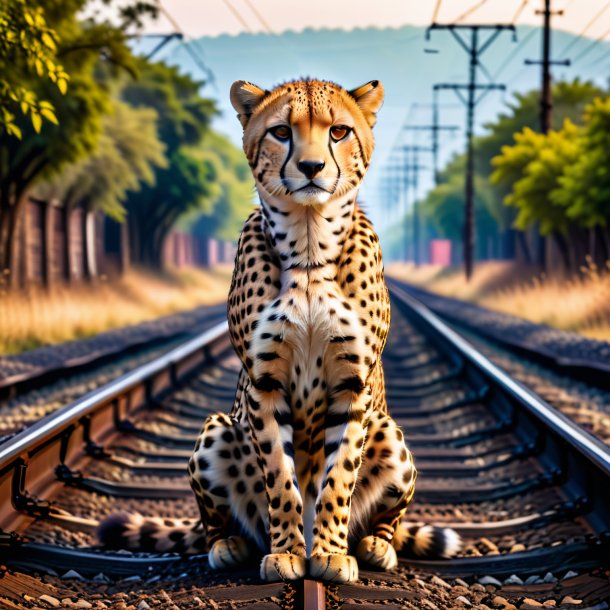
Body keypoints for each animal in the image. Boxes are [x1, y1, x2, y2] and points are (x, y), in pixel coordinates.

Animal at [100, 77, 458, 580]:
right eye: (282, 132)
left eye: (339, 132)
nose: (311, 167)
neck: (309, 241)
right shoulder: (263, 384)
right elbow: (282, 480)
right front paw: (288, 553)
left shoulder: (353, 385)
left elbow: (337, 479)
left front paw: (329, 553)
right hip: (217, 430)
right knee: (219, 520)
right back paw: (229, 545)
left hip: (390, 432)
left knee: (385, 516)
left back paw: (374, 546)